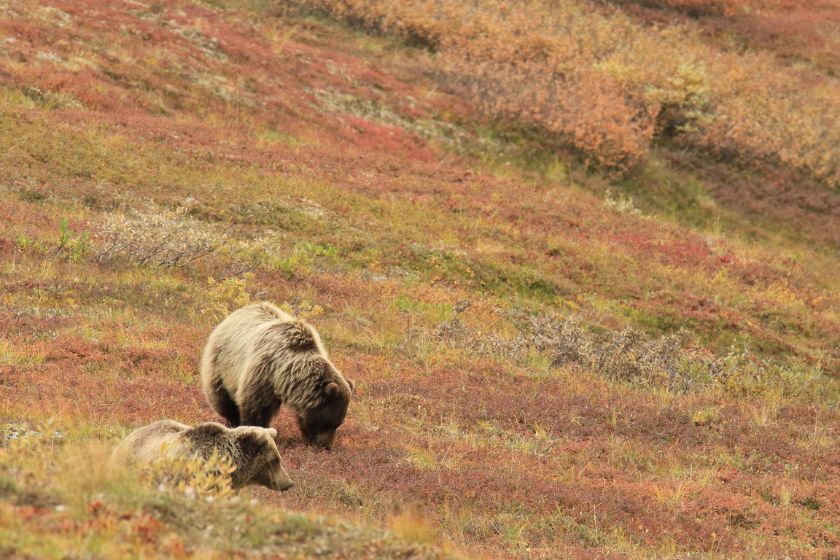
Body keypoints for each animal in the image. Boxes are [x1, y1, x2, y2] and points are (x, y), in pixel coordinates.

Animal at [200, 302, 354, 449]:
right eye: (328, 423)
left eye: (338, 424)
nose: (326, 446)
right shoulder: (263, 372)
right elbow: (255, 408)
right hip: (220, 365)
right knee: (222, 399)